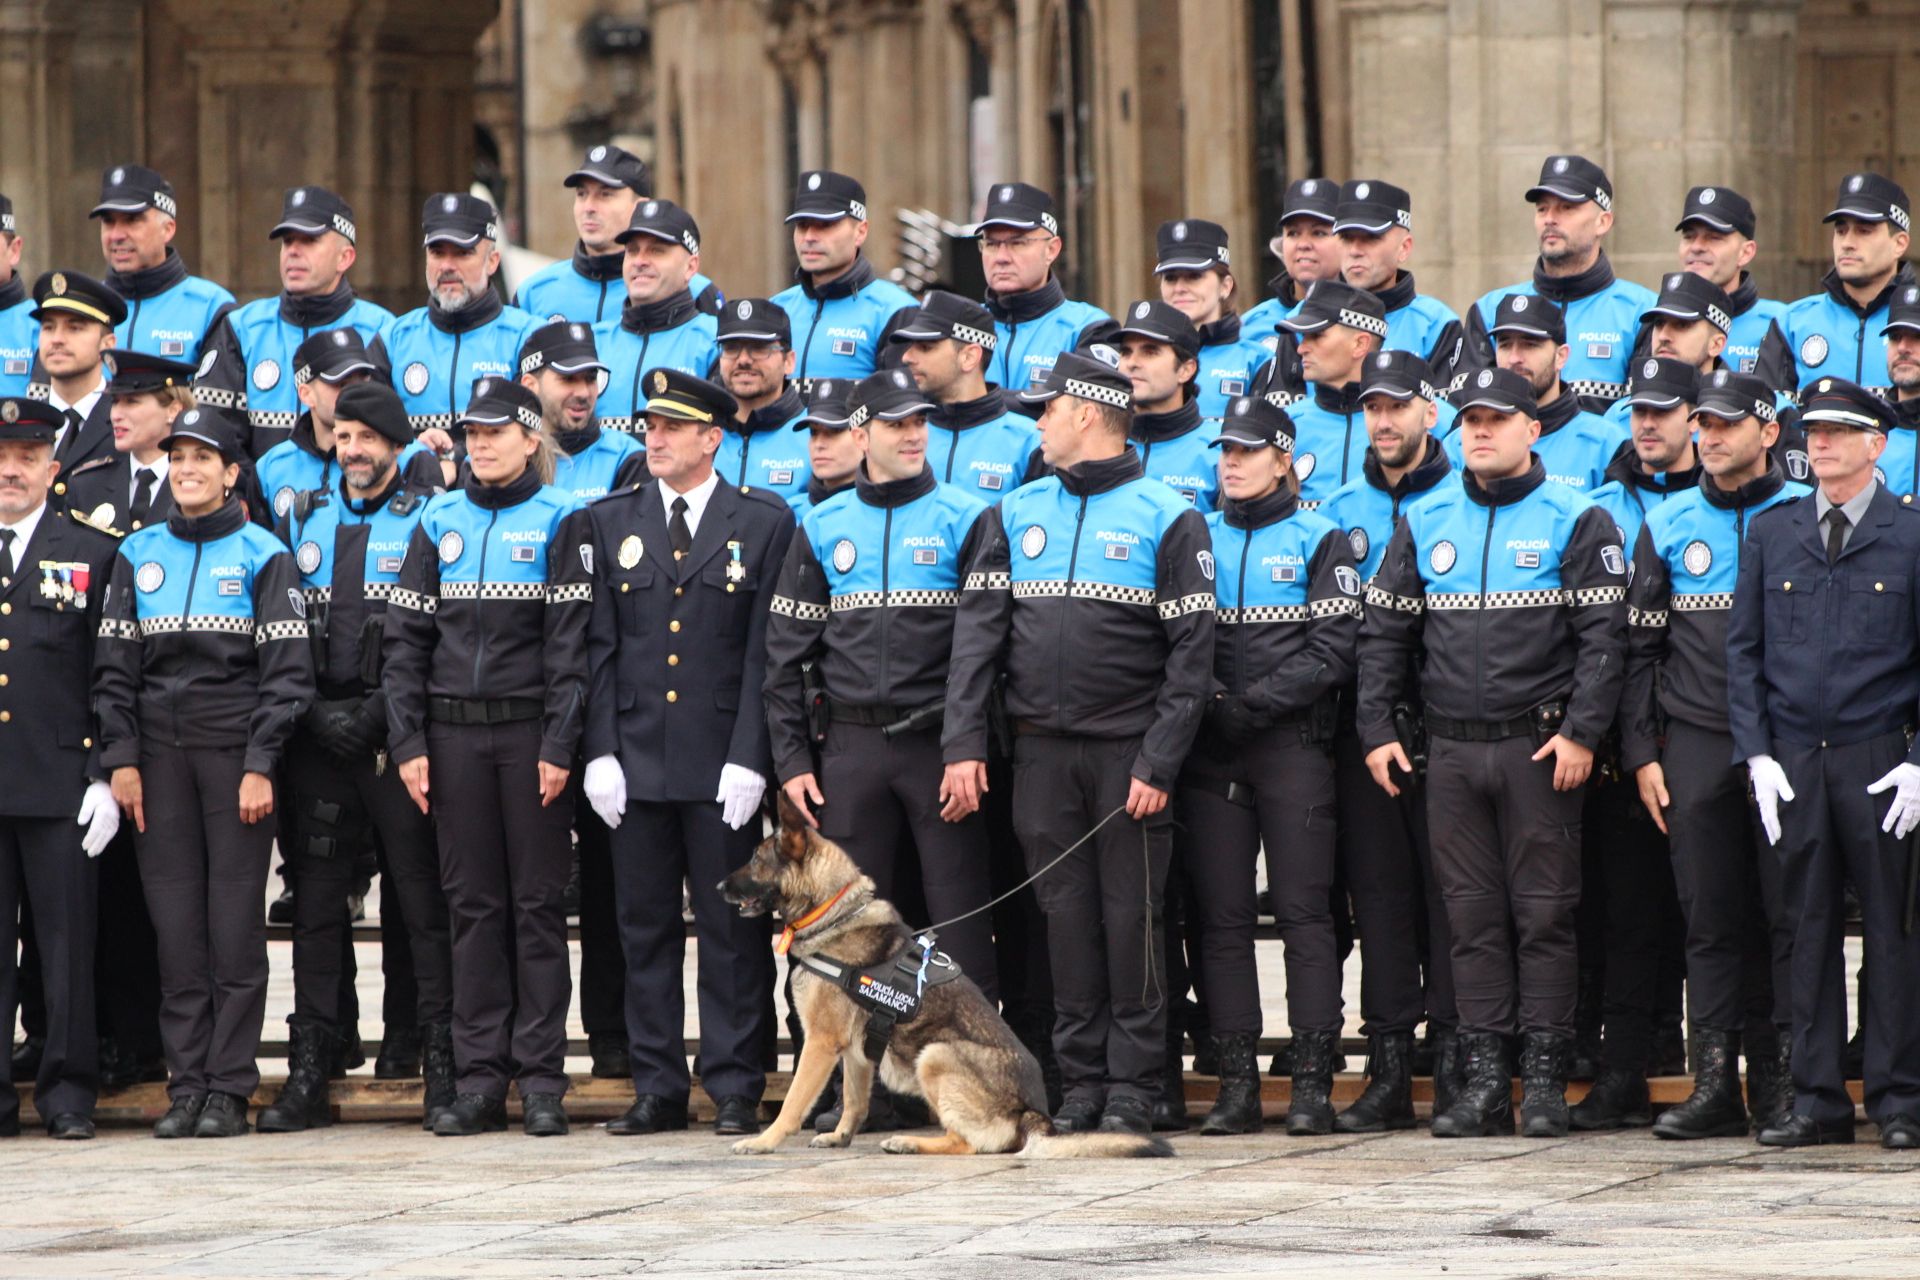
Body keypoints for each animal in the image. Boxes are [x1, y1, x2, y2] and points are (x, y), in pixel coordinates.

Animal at [721, 790, 1167, 1159]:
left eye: (756, 860)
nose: (718, 885)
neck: (834, 911)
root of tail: (1032, 1115)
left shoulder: (820, 1042)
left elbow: (794, 1101)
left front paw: (765, 1140)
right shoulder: (855, 1051)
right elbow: (855, 1101)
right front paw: (841, 1136)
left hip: (935, 1055)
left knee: (968, 1143)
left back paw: (909, 1142)